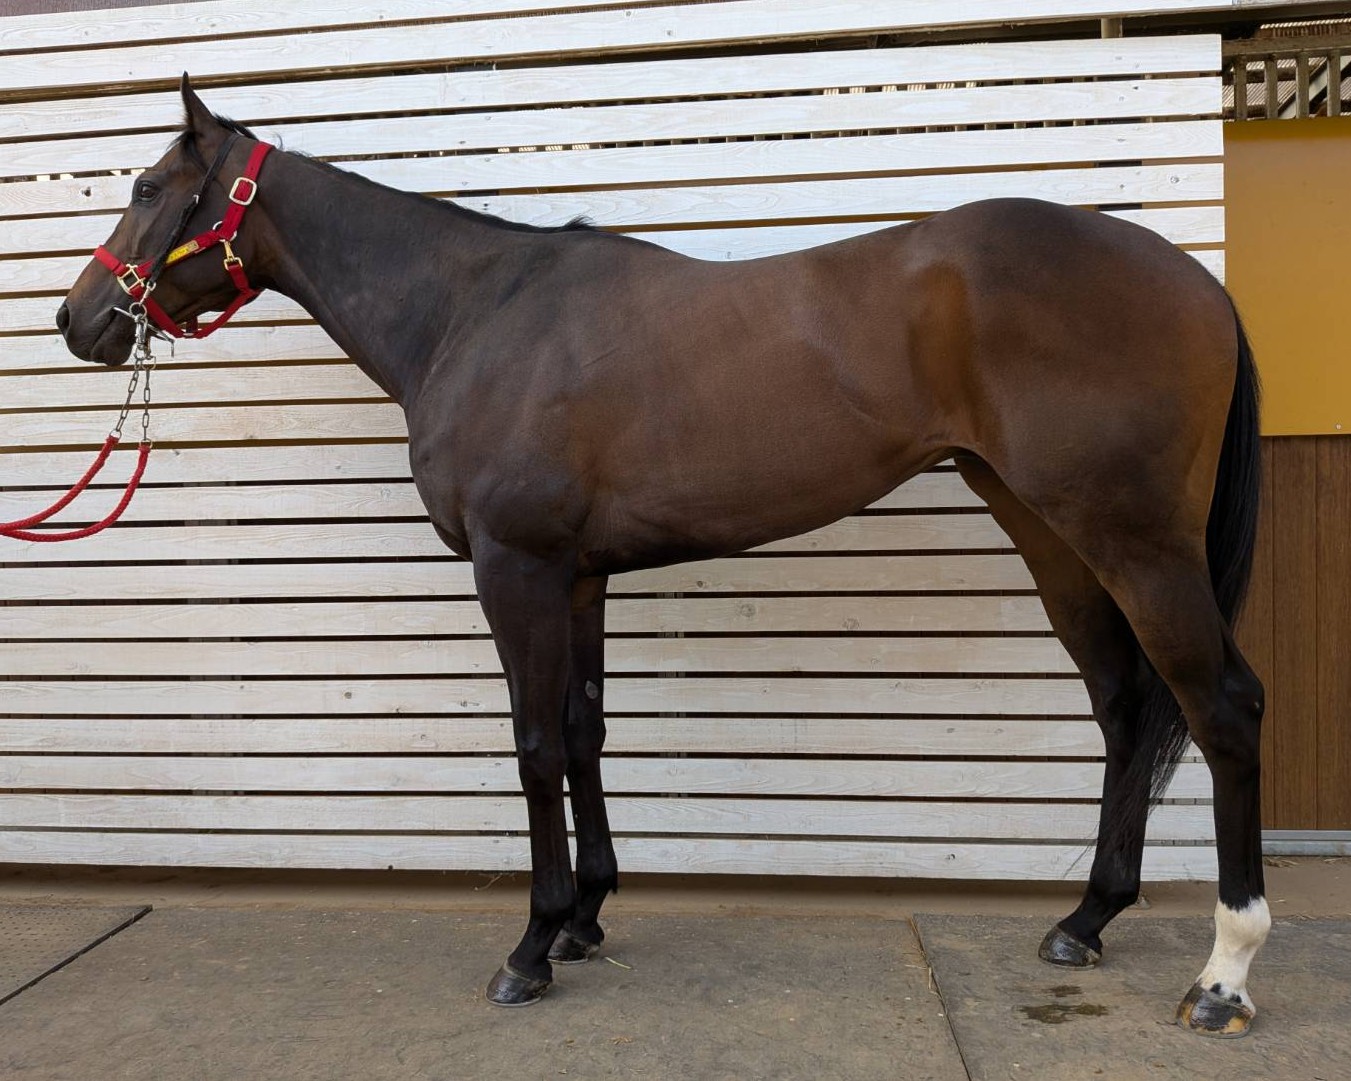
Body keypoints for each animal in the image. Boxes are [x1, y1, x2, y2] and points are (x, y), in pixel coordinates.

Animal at [58, 76, 1267, 1036]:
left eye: (150, 188)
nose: (79, 320)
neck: (474, 313)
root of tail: (1196, 281)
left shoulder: (516, 569)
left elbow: (535, 745)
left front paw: (531, 945)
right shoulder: (578, 575)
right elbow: (586, 733)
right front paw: (587, 917)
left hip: (1130, 539)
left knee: (1220, 706)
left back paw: (1223, 977)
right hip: (1050, 532)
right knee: (1125, 706)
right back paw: (1086, 919)